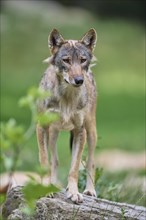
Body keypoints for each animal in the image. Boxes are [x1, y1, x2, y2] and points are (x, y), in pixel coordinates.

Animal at [36, 28, 97, 204]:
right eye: (66, 60)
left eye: (82, 60)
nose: (79, 80)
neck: (67, 98)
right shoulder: (41, 128)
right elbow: (45, 162)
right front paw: (45, 189)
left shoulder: (80, 131)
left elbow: (74, 168)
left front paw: (74, 192)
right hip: (53, 134)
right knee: (55, 161)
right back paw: (54, 184)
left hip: (91, 133)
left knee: (90, 163)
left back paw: (89, 190)